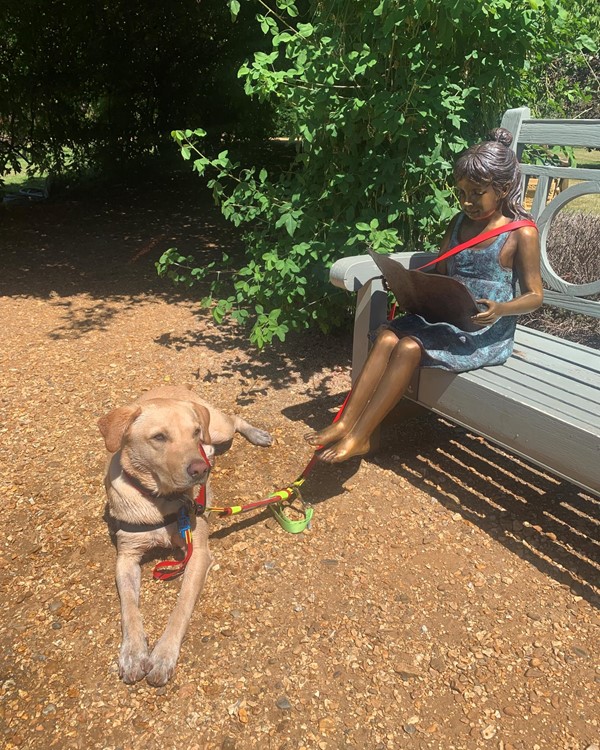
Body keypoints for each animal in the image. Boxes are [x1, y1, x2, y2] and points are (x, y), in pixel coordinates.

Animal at [97, 388, 270, 688]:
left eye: (194, 432)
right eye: (159, 437)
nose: (200, 470)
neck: (161, 500)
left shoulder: (198, 553)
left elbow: (181, 607)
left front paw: (163, 655)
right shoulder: (126, 557)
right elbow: (129, 608)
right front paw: (133, 652)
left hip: (219, 430)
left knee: (233, 419)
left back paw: (255, 434)